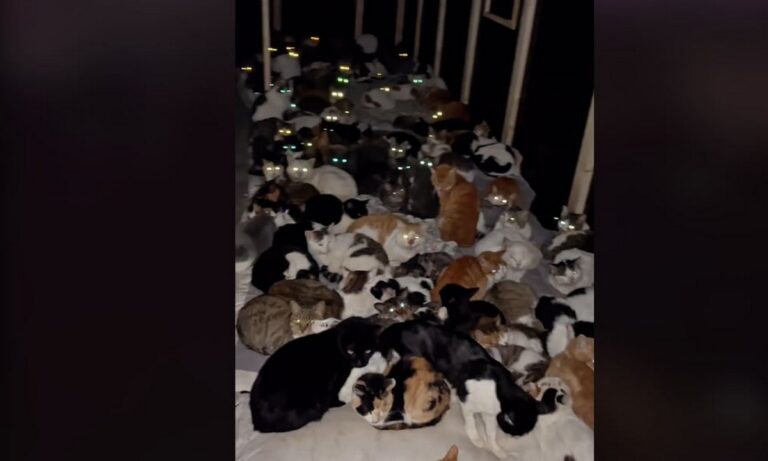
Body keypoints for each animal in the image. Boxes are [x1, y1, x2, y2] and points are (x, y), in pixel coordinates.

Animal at [249, 316, 381, 432]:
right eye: (351, 351)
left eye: (368, 351)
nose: (360, 363)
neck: (336, 343)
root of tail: (259, 424)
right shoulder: (336, 378)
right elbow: (334, 393)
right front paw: (338, 404)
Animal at [378, 320, 549, 458]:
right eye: (515, 432)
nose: (516, 438)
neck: (500, 391)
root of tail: (396, 327)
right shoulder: (468, 404)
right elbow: (471, 423)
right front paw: (477, 440)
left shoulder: (489, 414)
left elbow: (491, 433)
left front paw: (498, 451)